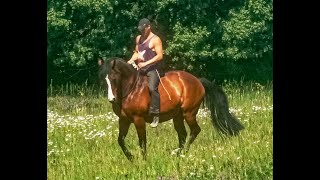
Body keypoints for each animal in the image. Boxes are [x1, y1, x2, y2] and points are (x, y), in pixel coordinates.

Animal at [97, 56, 245, 160]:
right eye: (103, 79)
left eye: (114, 78)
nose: (112, 99)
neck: (131, 89)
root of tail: (198, 81)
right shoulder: (124, 120)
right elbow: (120, 140)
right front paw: (131, 158)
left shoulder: (138, 119)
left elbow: (142, 141)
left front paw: (144, 160)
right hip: (177, 116)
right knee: (183, 134)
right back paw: (177, 154)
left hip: (189, 113)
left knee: (194, 130)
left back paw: (184, 153)